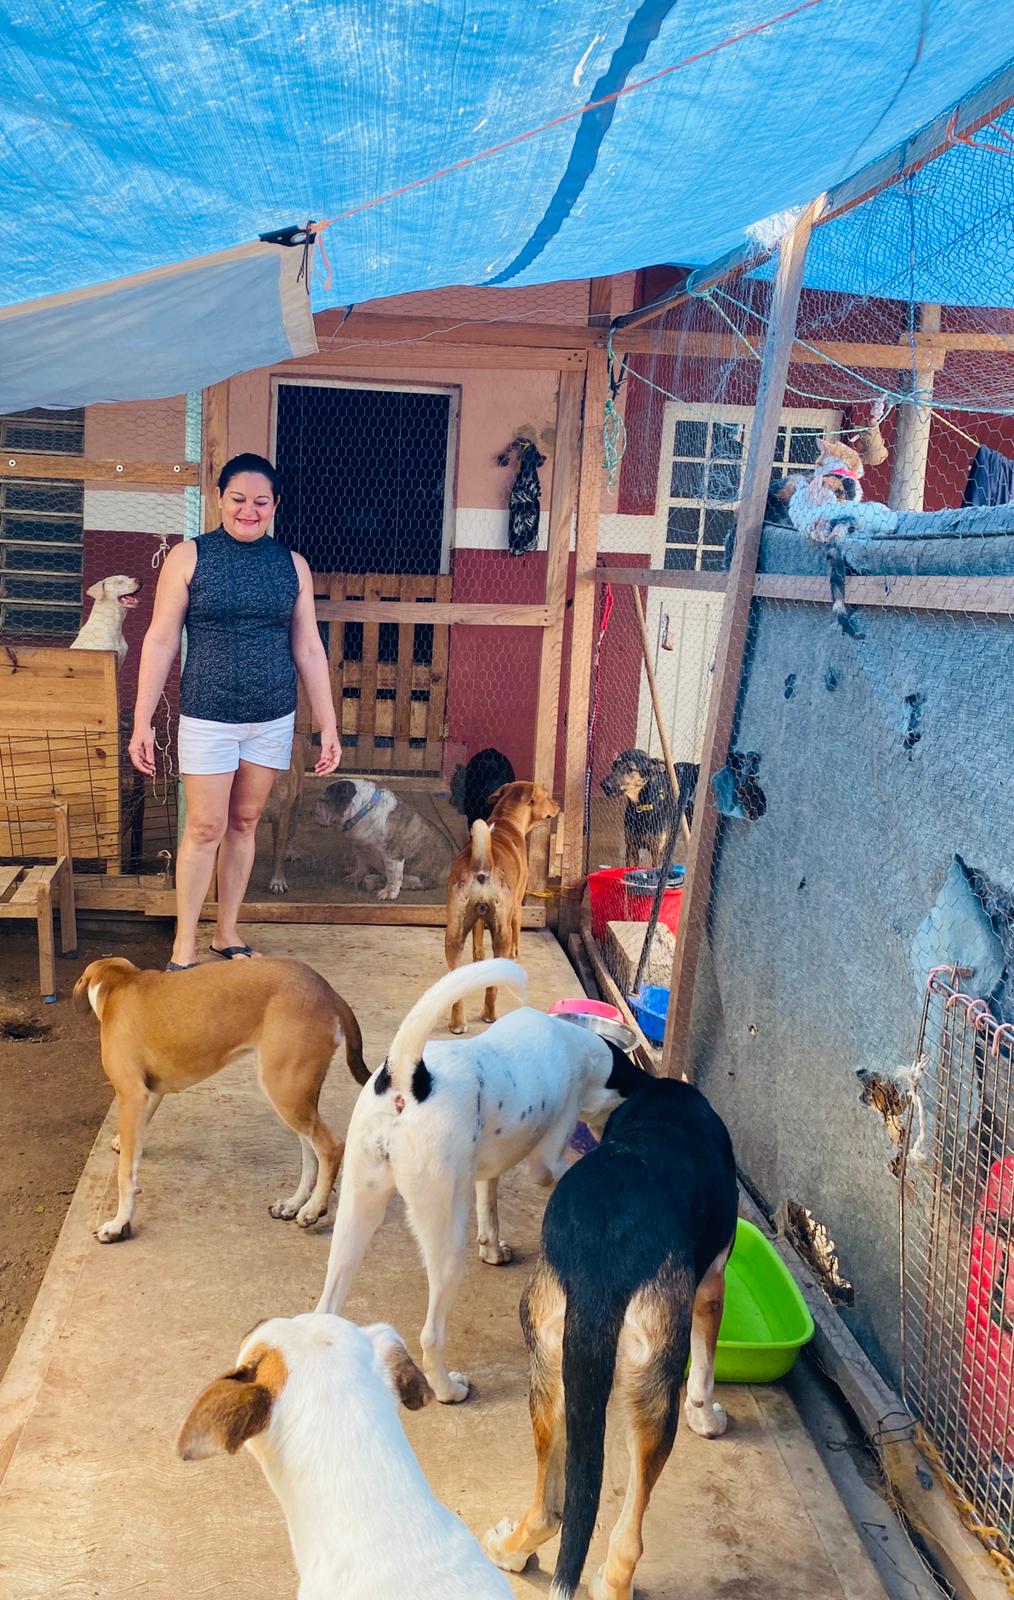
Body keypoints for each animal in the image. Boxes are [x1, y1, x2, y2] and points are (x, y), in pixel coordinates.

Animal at [73, 953, 367, 1241]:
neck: (118, 982)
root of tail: (327, 991)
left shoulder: (132, 1096)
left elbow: (125, 1175)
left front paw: (118, 1224)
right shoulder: (151, 1093)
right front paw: (122, 1142)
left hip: (285, 1090)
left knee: (330, 1148)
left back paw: (313, 1209)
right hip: (295, 1096)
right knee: (310, 1153)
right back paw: (294, 1203)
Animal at [316, 960, 639, 1401]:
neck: (584, 1050)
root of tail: (407, 1078)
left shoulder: (487, 1168)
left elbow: (490, 1203)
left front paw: (494, 1249)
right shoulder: (548, 1153)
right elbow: (555, 1171)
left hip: (356, 1213)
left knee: (327, 1304)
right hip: (445, 1238)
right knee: (431, 1334)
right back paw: (448, 1389)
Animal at [441, 777, 556, 1036]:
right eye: (547, 795)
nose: (557, 805)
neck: (506, 820)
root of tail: (482, 863)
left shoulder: (478, 918)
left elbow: (477, 948)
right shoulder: (516, 907)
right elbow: (517, 936)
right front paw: (516, 954)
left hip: (454, 932)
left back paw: (457, 1023)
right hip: (501, 930)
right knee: (493, 986)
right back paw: (490, 1015)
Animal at [483, 1062, 735, 1600]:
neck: (659, 1102)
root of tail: (602, 1267)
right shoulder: (711, 1286)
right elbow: (704, 1373)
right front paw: (706, 1418)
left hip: (552, 1368)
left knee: (560, 1512)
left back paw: (512, 1554)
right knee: (603, 1530)